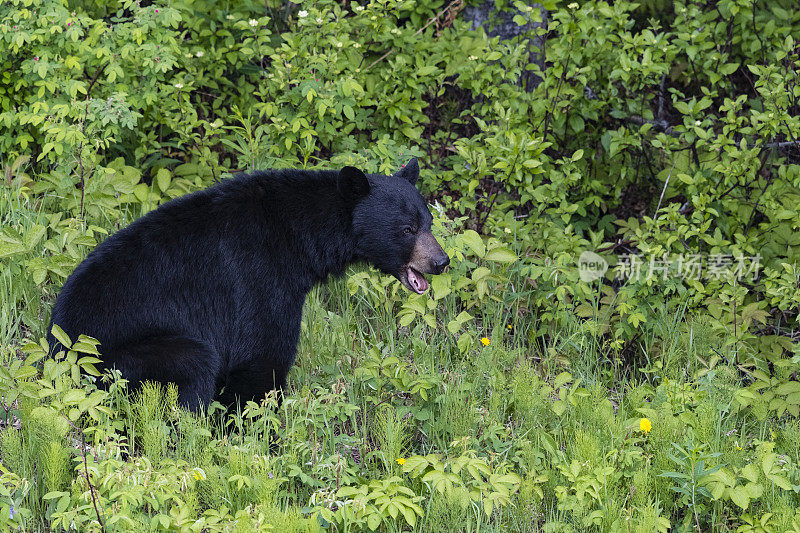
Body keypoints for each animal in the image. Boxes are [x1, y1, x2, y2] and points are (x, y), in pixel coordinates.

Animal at [50, 157, 450, 408]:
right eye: (407, 229)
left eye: (428, 222)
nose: (441, 261)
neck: (300, 237)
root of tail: (57, 356)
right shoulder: (260, 276)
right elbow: (262, 351)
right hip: (119, 359)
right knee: (195, 365)